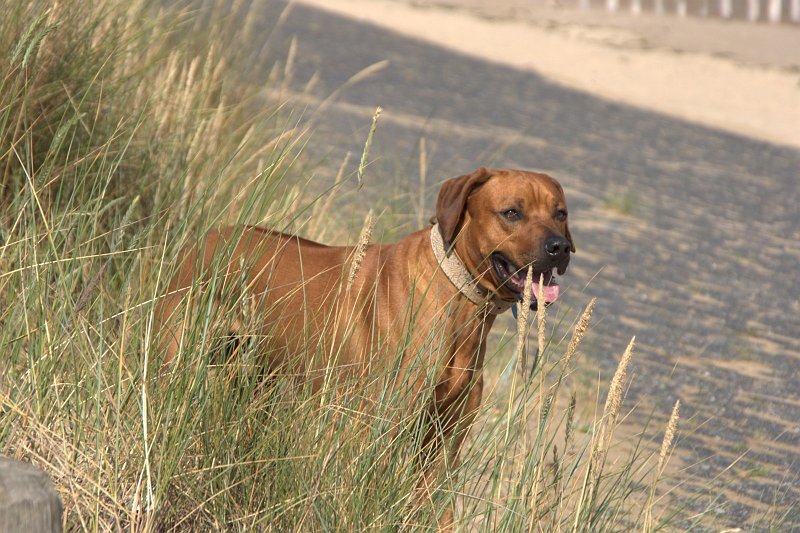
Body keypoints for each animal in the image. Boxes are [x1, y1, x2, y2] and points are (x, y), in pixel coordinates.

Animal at [156, 169, 572, 524]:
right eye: (512, 212)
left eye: (561, 213)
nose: (561, 247)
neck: (457, 299)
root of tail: (206, 238)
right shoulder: (377, 427)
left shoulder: (445, 440)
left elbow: (438, 507)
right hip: (177, 354)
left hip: (259, 378)